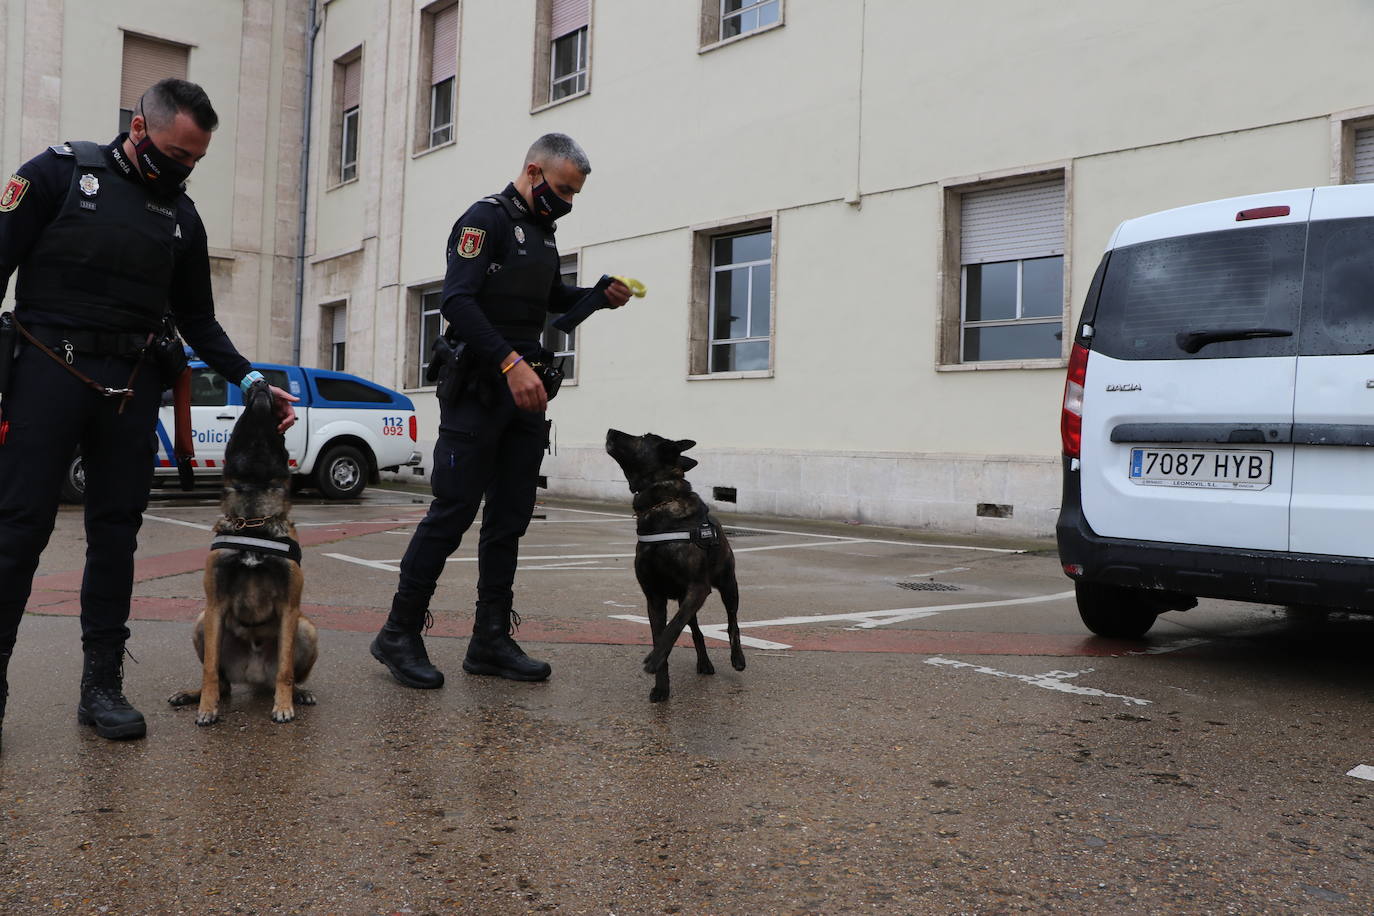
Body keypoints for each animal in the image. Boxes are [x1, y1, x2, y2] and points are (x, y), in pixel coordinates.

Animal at [168, 379, 316, 725]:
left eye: (278, 430)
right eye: (239, 426)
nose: (261, 384)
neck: (253, 518)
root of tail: (254, 675)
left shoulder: (290, 608)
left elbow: (286, 669)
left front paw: (283, 705)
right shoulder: (215, 605)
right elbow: (210, 669)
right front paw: (206, 708)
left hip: (306, 628)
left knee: (285, 674)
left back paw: (298, 694)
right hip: (202, 621)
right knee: (222, 683)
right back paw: (191, 695)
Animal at [607, 431, 747, 703]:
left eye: (642, 437)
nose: (610, 431)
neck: (661, 503)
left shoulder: (698, 588)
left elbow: (671, 630)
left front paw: (653, 659)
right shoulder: (654, 597)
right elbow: (663, 634)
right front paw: (661, 687)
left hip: (728, 586)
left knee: (732, 622)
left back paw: (737, 658)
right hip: (688, 600)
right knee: (696, 631)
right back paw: (704, 663)